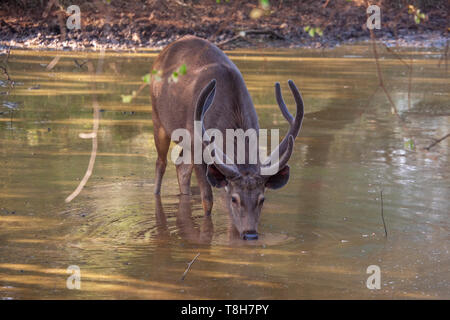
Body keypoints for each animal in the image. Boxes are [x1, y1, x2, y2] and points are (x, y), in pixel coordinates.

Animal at [149, 36, 304, 239]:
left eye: (262, 199)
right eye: (234, 199)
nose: (250, 234)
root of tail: (163, 52)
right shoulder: (199, 149)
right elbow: (208, 200)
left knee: (181, 166)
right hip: (158, 118)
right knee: (161, 163)